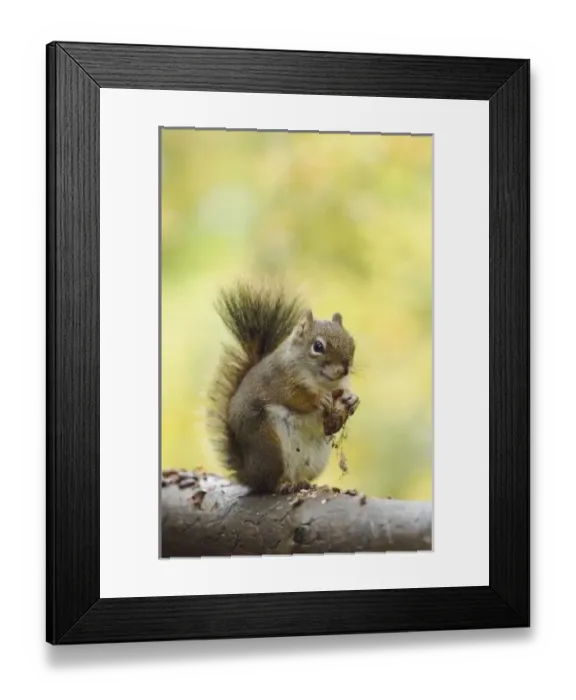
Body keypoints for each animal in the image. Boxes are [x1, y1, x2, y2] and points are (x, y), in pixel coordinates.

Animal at [208, 282, 360, 494]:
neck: (322, 382)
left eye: (351, 342)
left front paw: (351, 399)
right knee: (269, 483)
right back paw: (283, 484)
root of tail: (249, 474)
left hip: (315, 460)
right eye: (318, 346)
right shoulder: (279, 380)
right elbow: (295, 397)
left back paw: (302, 483)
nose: (345, 368)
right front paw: (319, 399)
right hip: (269, 445)